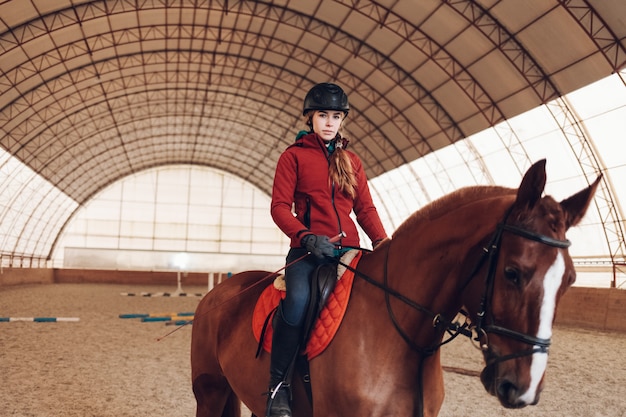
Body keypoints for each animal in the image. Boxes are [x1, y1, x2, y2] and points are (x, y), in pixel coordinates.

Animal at [190, 158, 600, 414]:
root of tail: (218, 294)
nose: (524, 388)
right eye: (513, 272)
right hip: (210, 393)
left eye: (569, 280)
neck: (400, 337)